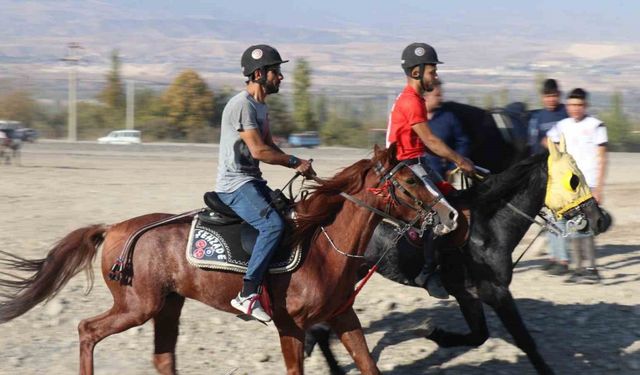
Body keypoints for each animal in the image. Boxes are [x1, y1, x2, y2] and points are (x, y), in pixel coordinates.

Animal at [0, 145, 436, 375]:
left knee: (162, 357)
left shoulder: (343, 316)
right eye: (409, 181)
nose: (444, 214)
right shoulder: (290, 325)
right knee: (87, 329)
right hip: (138, 306)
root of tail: (114, 230)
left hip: (167, 306)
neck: (323, 248)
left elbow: (368, 364)